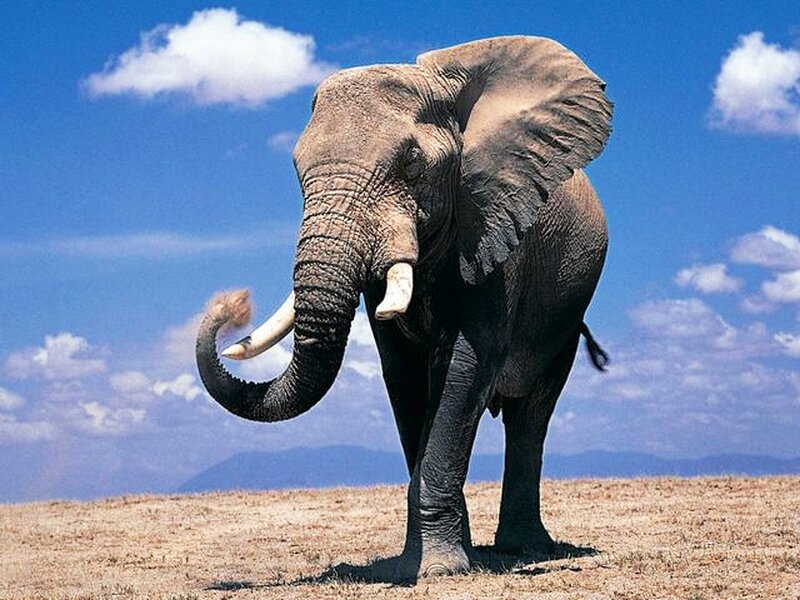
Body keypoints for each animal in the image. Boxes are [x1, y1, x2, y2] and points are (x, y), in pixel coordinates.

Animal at [195, 35, 612, 579]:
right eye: (296, 169)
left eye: (413, 165)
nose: (233, 304)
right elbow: (404, 376)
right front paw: (418, 565)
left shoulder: (494, 228)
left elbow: (463, 366)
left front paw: (440, 570)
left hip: (566, 307)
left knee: (531, 413)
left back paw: (524, 549)